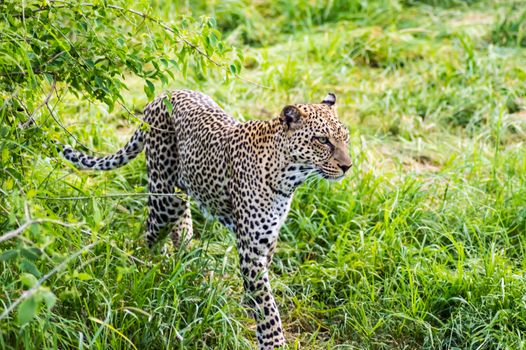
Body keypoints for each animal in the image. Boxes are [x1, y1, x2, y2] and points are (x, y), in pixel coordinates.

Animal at [59, 89, 352, 348]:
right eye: (322, 140)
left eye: (345, 137)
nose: (347, 166)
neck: (289, 176)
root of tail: (161, 95)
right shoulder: (251, 247)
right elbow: (267, 305)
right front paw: (273, 342)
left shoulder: (267, 239)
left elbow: (260, 291)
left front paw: (249, 306)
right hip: (164, 196)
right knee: (148, 234)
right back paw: (151, 267)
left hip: (179, 190)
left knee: (180, 222)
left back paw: (185, 262)